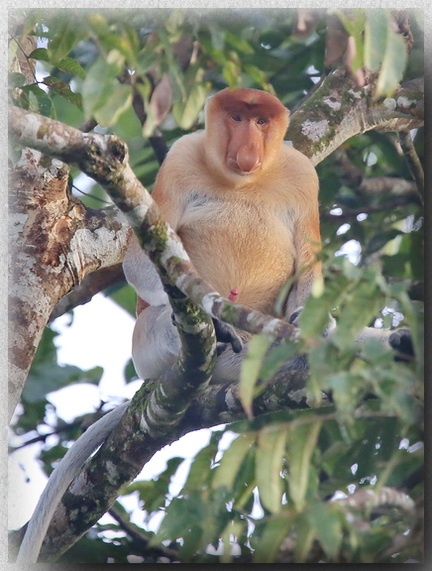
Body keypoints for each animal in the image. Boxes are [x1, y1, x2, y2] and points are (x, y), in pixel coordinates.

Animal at [123, 88, 322, 384]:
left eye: (261, 121)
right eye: (236, 118)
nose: (247, 151)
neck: (241, 182)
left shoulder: (304, 175)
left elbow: (308, 265)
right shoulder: (180, 157)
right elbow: (138, 258)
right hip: (144, 348)